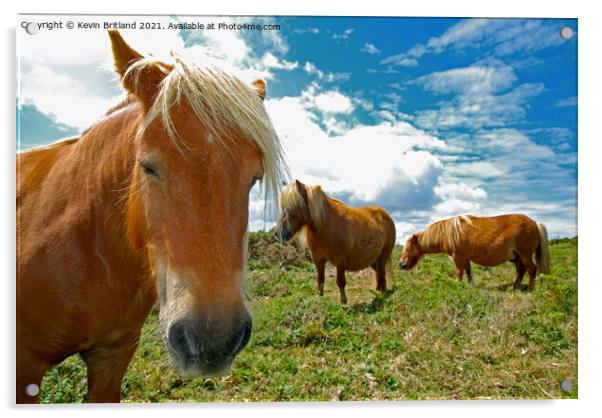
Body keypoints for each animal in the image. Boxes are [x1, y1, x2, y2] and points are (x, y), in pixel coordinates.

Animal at [398, 216, 548, 290]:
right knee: (521, 271)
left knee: (531, 269)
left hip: (525, 255)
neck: (448, 232)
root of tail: (535, 223)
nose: (401, 264)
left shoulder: (458, 257)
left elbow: (459, 272)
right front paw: (470, 285)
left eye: (408, 248)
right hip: (516, 257)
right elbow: (468, 272)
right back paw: (515, 288)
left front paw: (459, 286)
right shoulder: (465, 258)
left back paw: (530, 289)